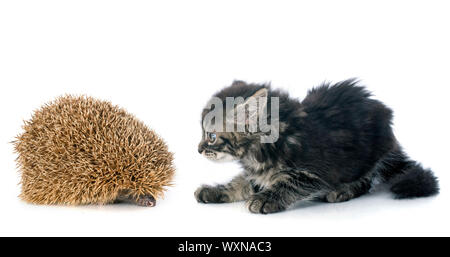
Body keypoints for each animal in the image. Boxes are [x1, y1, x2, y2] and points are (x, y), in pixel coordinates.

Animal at [195, 79, 438, 213]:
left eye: (211, 136)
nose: (198, 149)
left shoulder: (312, 173)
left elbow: (289, 183)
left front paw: (266, 198)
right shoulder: (257, 172)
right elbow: (240, 182)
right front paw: (216, 190)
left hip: (364, 157)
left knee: (367, 180)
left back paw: (342, 191)